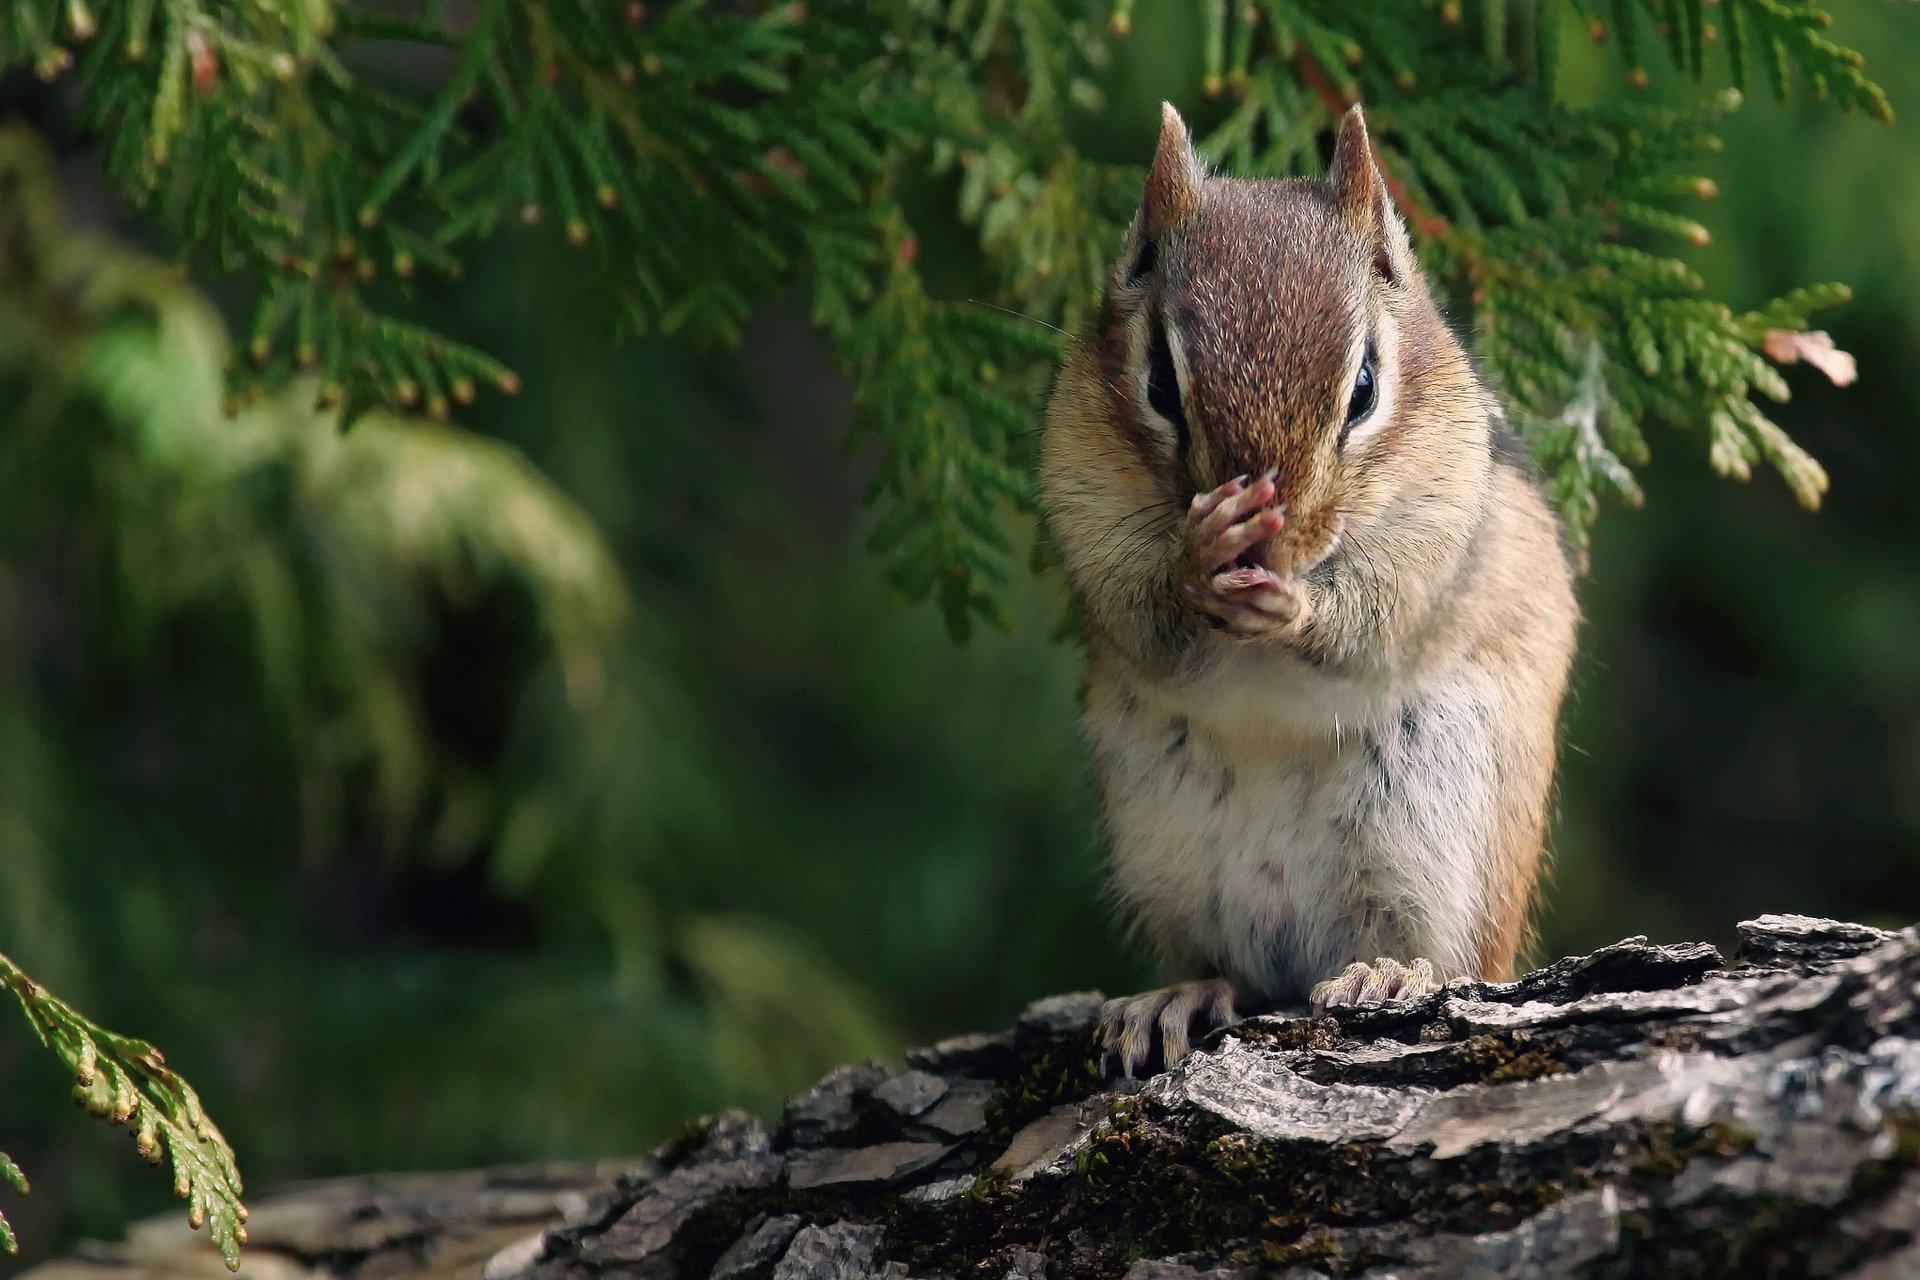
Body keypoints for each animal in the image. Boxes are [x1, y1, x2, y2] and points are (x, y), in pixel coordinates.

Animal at [1040, 103, 1579, 1076]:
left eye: (1363, 388)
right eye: (1160, 384)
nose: (1273, 538)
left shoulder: (1439, 531)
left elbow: (1378, 620)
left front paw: (1296, 606)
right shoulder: (1081, 502)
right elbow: (1142, 613)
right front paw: (1198, 560)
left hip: (1443, 830)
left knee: (1448, 956)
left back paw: (1387, 973)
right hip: (1162, 842)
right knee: (1227, 964)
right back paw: (1182, 994)